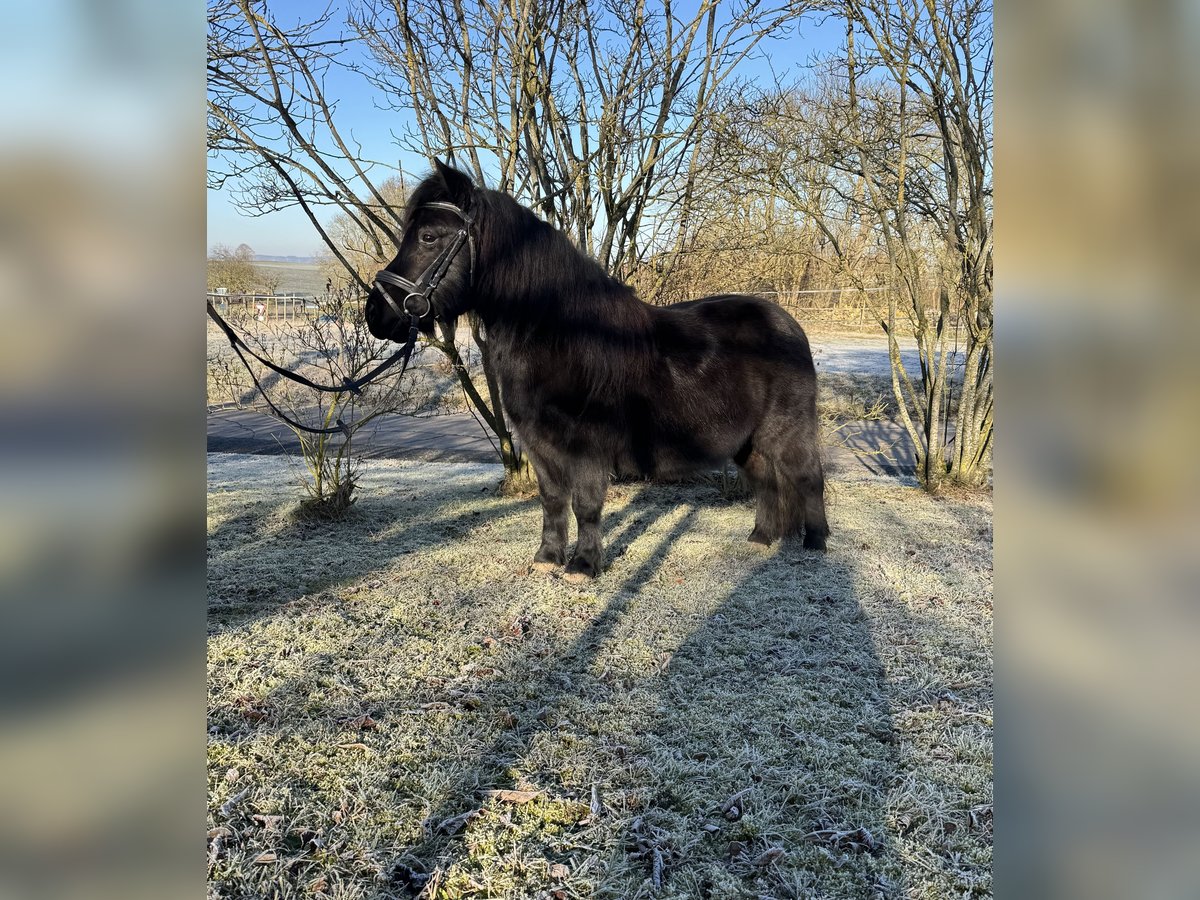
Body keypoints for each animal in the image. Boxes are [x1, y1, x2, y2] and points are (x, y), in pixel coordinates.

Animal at [364, 162, 825, 580]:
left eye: (428, 237)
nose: (375, 314)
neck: (564, 336)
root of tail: (787, 324)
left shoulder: (587, 444)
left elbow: (585, 504)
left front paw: (583, 565)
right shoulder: (539, 443)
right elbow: (552, 501)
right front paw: (548, 558)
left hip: (787, 430)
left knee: (808, 477)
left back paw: (816, 543)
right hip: (748, 441)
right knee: (765, 480)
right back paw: (761, 539)